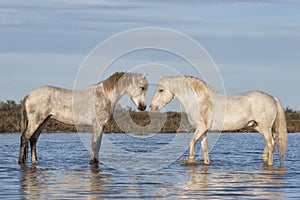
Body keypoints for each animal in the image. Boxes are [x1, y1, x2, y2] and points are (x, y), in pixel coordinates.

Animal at [19, 72, 149, 164]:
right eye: (142, 87)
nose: (143, 107)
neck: (104, 96)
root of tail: (28, 95)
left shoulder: (101, 127)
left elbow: (97, 146)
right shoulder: (97, 125)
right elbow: (95, 145)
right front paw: (93, 162)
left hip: (43, 121)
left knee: (33, 139)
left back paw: (35, 161)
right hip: (36, 122)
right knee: (25, 138)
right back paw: (21, 162)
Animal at [151, 76, 288, 166]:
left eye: (161, 90)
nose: (152, 107)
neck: (199, 101)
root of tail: (272, 98)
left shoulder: (201, 128)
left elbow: (191, 142)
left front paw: (191, 160)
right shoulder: (203, 131)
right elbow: (204, 149)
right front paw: (205, 162)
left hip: (264, 126)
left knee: (271, 143)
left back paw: (269, 163)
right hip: (257, 126)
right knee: (273, 138)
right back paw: (264, 156)